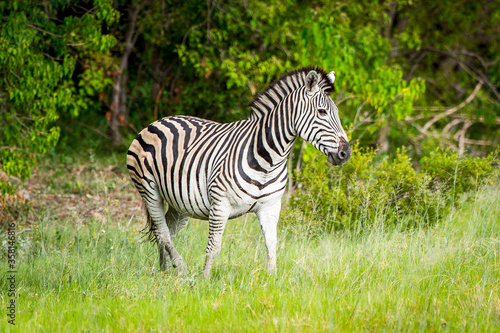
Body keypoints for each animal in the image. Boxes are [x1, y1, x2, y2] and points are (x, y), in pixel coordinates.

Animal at [127, 66, 350, 276]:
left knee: (167, 231)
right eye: (322, 112)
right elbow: (213, 247)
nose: (345, 153)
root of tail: (159, 121)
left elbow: (272, 246)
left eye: (337, 113)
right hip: (150, 191)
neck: (269, 159)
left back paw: (165, 271)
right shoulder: (220, 204)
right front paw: (203, 281)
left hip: (180, 201)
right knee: (162, 232)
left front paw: (272, 280)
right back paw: (181, 269)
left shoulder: (270, 206)